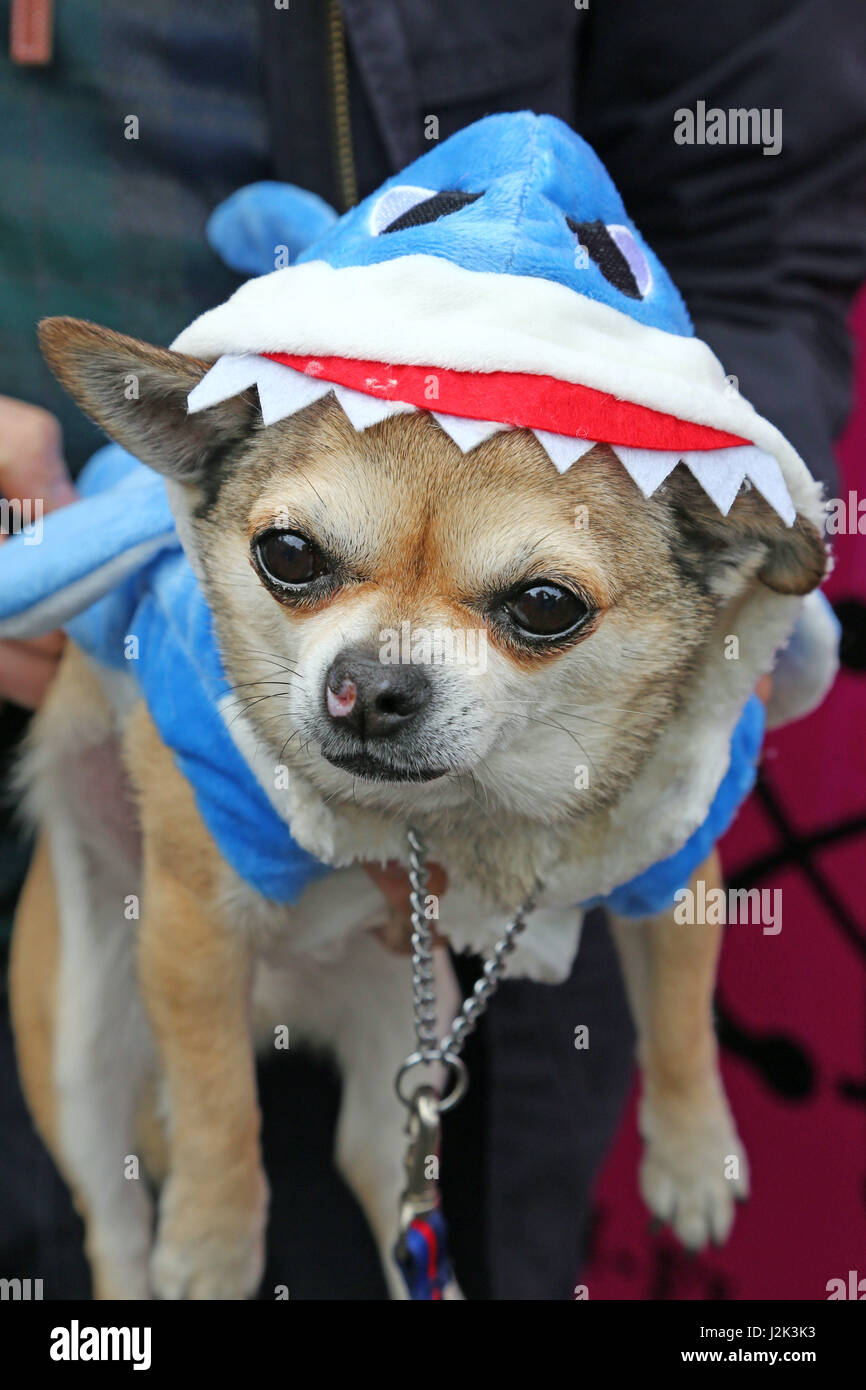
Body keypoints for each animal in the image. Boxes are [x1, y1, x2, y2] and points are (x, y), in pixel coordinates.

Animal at [10, 319, 828, 1295]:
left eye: (545, 606)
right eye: (288, 555)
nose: (368, 688)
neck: (449, 813)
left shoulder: (666, 858)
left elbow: (680, 1004)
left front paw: (693, 1152)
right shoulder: (194, 921)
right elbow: (218, 1102)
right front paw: (213, 1238)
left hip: (407, 1030)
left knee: (387, 1175)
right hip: (85, 1050)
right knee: (118, 1216)